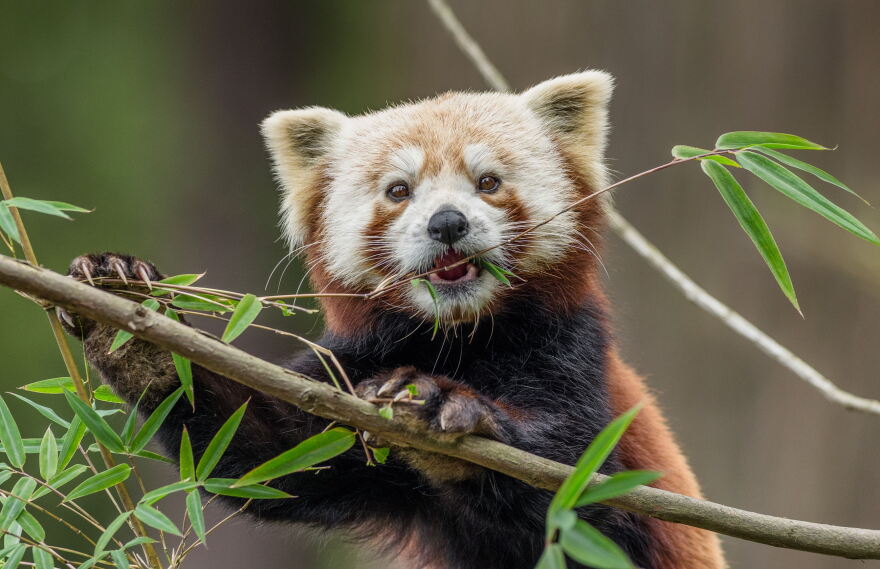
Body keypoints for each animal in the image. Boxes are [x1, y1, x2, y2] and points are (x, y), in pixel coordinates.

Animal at [60, 71, 726, 569]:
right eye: (399, 191)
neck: (457, 338)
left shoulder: (570, 351)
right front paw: (129, 326)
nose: (448, 222)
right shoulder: (350, 364)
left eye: (488, 182)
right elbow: (267, 457)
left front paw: (440, 408)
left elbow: (583, 486)